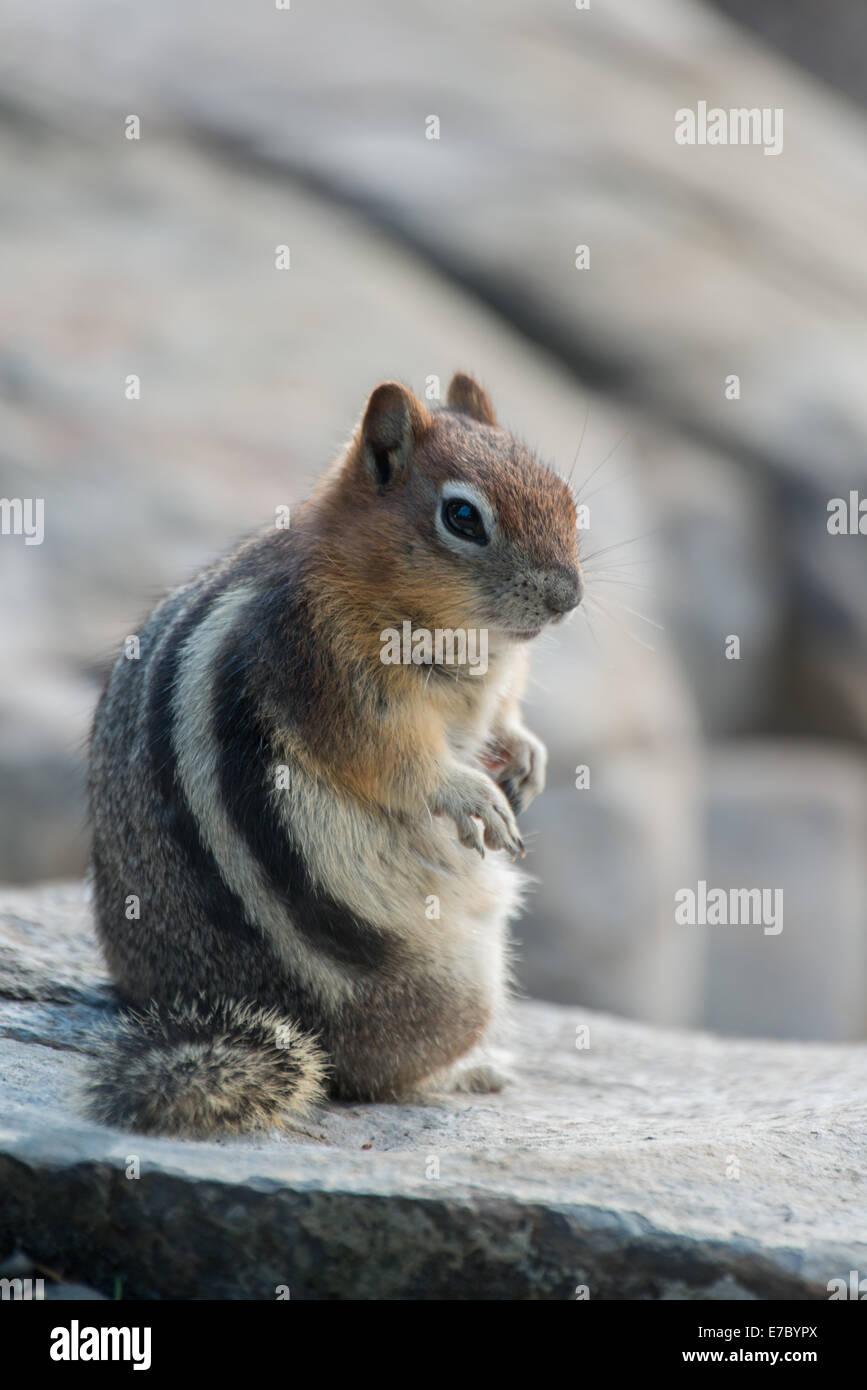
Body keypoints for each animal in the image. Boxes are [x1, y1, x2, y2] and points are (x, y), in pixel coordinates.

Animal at [86, 372, 583, 1137]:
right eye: (462, 517)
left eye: (563, 494)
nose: (568, 598)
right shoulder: (327, 671)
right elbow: (397, 763)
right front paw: (472, 794)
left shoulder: (494, 685)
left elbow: (503, 717)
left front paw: (526, 754)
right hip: (461, 987)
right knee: (379, 1081)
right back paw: (469, 1069)